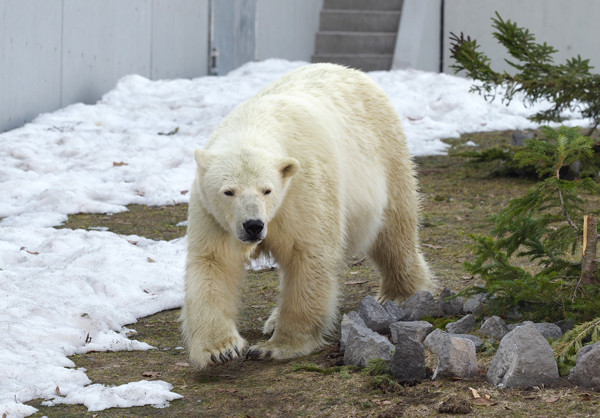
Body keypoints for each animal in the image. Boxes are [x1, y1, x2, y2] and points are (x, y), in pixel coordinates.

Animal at [180, 63, 434, 368]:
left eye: (267, 190)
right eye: (228, 191)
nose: (253, 226)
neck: (253, 124)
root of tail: (355, 72)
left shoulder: (304, 189)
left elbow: (308, 256)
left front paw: (276, 347)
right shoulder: (214, 216)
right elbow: (213, 263)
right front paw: (220, 349)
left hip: (387, 156)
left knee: (394, 233)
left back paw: (401, 294)